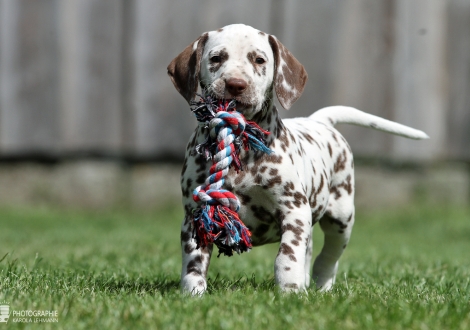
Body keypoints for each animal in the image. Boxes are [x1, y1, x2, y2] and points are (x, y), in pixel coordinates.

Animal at [167, 24, 428, 296]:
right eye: (216, 58)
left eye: (259, 60)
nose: (236, 84)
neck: (242, 149)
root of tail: (320, 120)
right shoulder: (196, 213)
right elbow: (194, 259)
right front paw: (193, 293)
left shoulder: (293, 209)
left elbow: (287, 255)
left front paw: (289, 291)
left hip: (341, 217)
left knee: (328, 257)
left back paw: (321, 287)